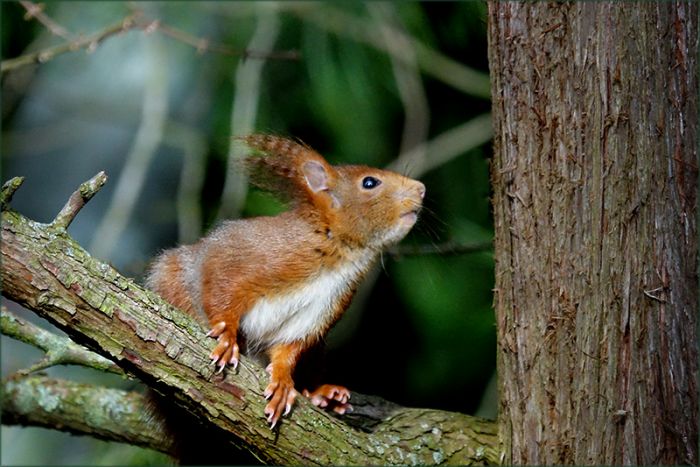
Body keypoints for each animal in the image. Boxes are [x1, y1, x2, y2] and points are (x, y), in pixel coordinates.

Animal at [146, 134, 425, 429]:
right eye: (370, 182)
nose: (421, 189)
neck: (339, 253)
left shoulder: (323, 308)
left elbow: (289, 349)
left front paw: (282, 381)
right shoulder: (245, 252)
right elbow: (219, 285)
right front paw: (227, 336)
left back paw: (321, 395)